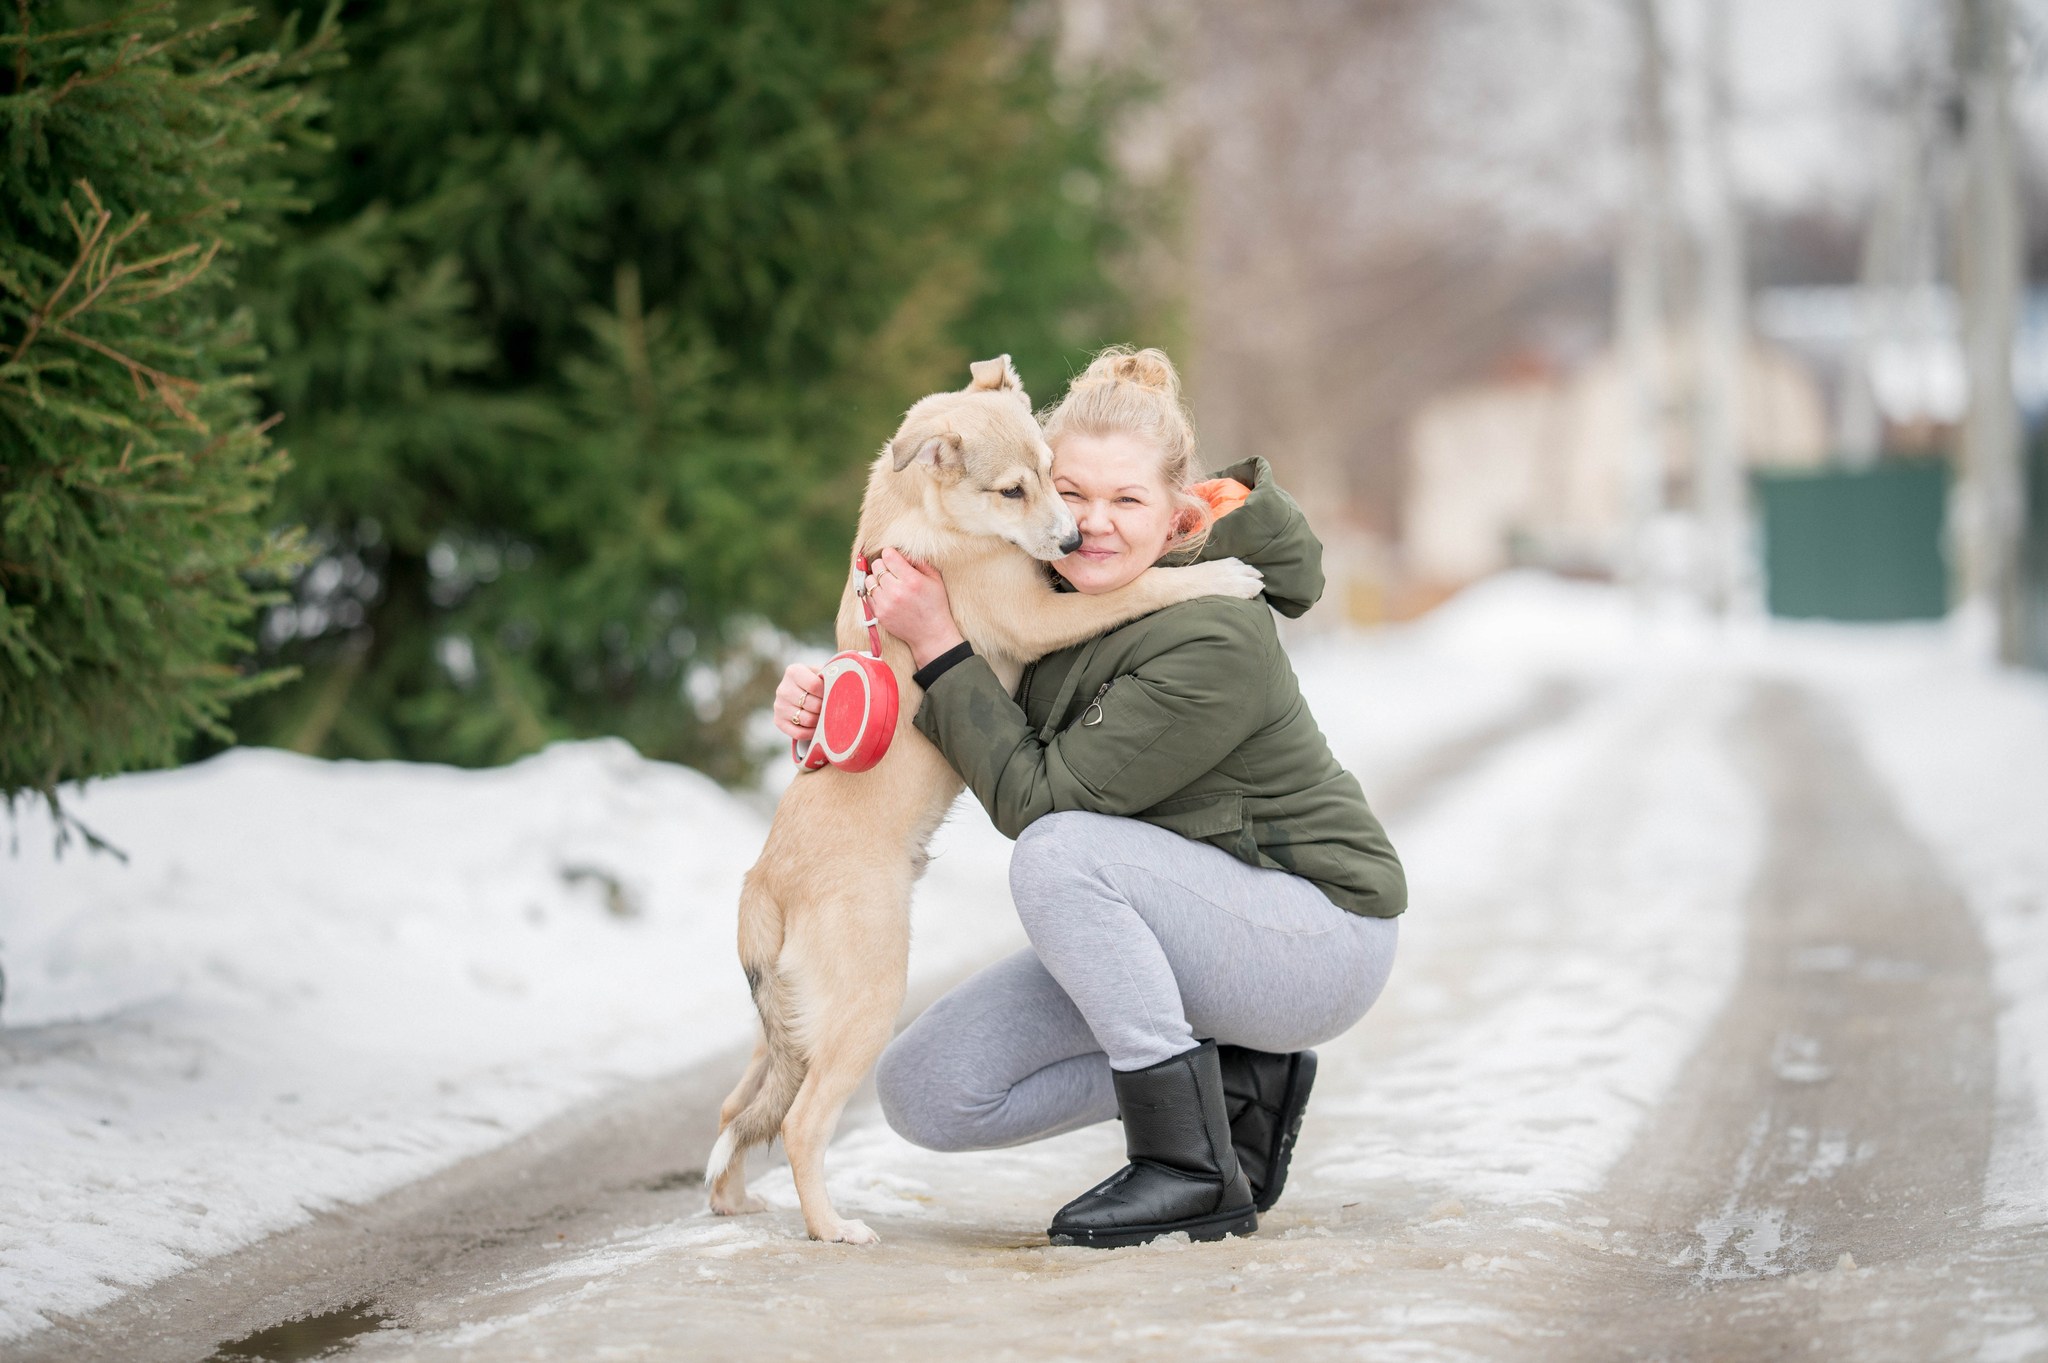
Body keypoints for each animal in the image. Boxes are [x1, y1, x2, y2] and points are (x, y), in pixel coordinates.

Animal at [716, 356, 1261, 1236]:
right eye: (1012, 490)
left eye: (1052, 471)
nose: (1072, 541)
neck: (921, 512)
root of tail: (763, 885)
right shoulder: (1038, 612)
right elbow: (1136, 589)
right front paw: (1222, 573)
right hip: (866, 1001)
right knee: (798, 1123)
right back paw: (833, 1227)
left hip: (790, 1024)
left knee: (739, 1109)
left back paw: (731, 1199)